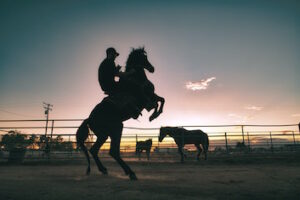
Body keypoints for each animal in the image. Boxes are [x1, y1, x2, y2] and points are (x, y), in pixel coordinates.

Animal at [75, 47, 164, 180]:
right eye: (143, 58)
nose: (152, 68)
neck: (136, 80)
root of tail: (89, 119)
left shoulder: (152, 95)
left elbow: (162, 100)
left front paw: (155, 114)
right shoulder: (145, 98)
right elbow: (157, 103)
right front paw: (153, 115)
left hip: (104, 135)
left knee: (95, 150)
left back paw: (104, 169)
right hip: (116, 128)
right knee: (113, 151)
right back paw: (131, 173)